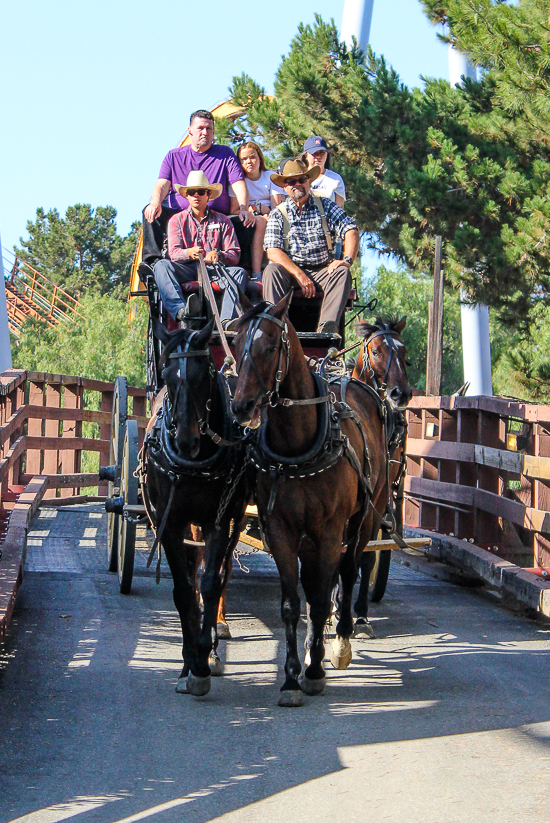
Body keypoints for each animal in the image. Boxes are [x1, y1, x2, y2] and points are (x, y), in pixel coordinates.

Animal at [140, 320, 248, 696]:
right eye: (167, 376)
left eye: (204, 374)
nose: (185, 440)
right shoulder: (169, 522)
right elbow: (185, 589)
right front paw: (188, 664)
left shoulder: (220, 520)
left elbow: (211, 582)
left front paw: (204, 658)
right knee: (191, 566)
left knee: (221, 571)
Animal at [232, 296, 380, 708]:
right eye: (234, 343)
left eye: (269, 347)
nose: (241, 406)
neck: (297, 445)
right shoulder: (281, 532)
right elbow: (293, 604)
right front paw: (291, 678)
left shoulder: (329, 532)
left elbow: (319, 597)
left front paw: (314, 671)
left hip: (363, 521)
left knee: (349, 571)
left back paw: (341, 640)